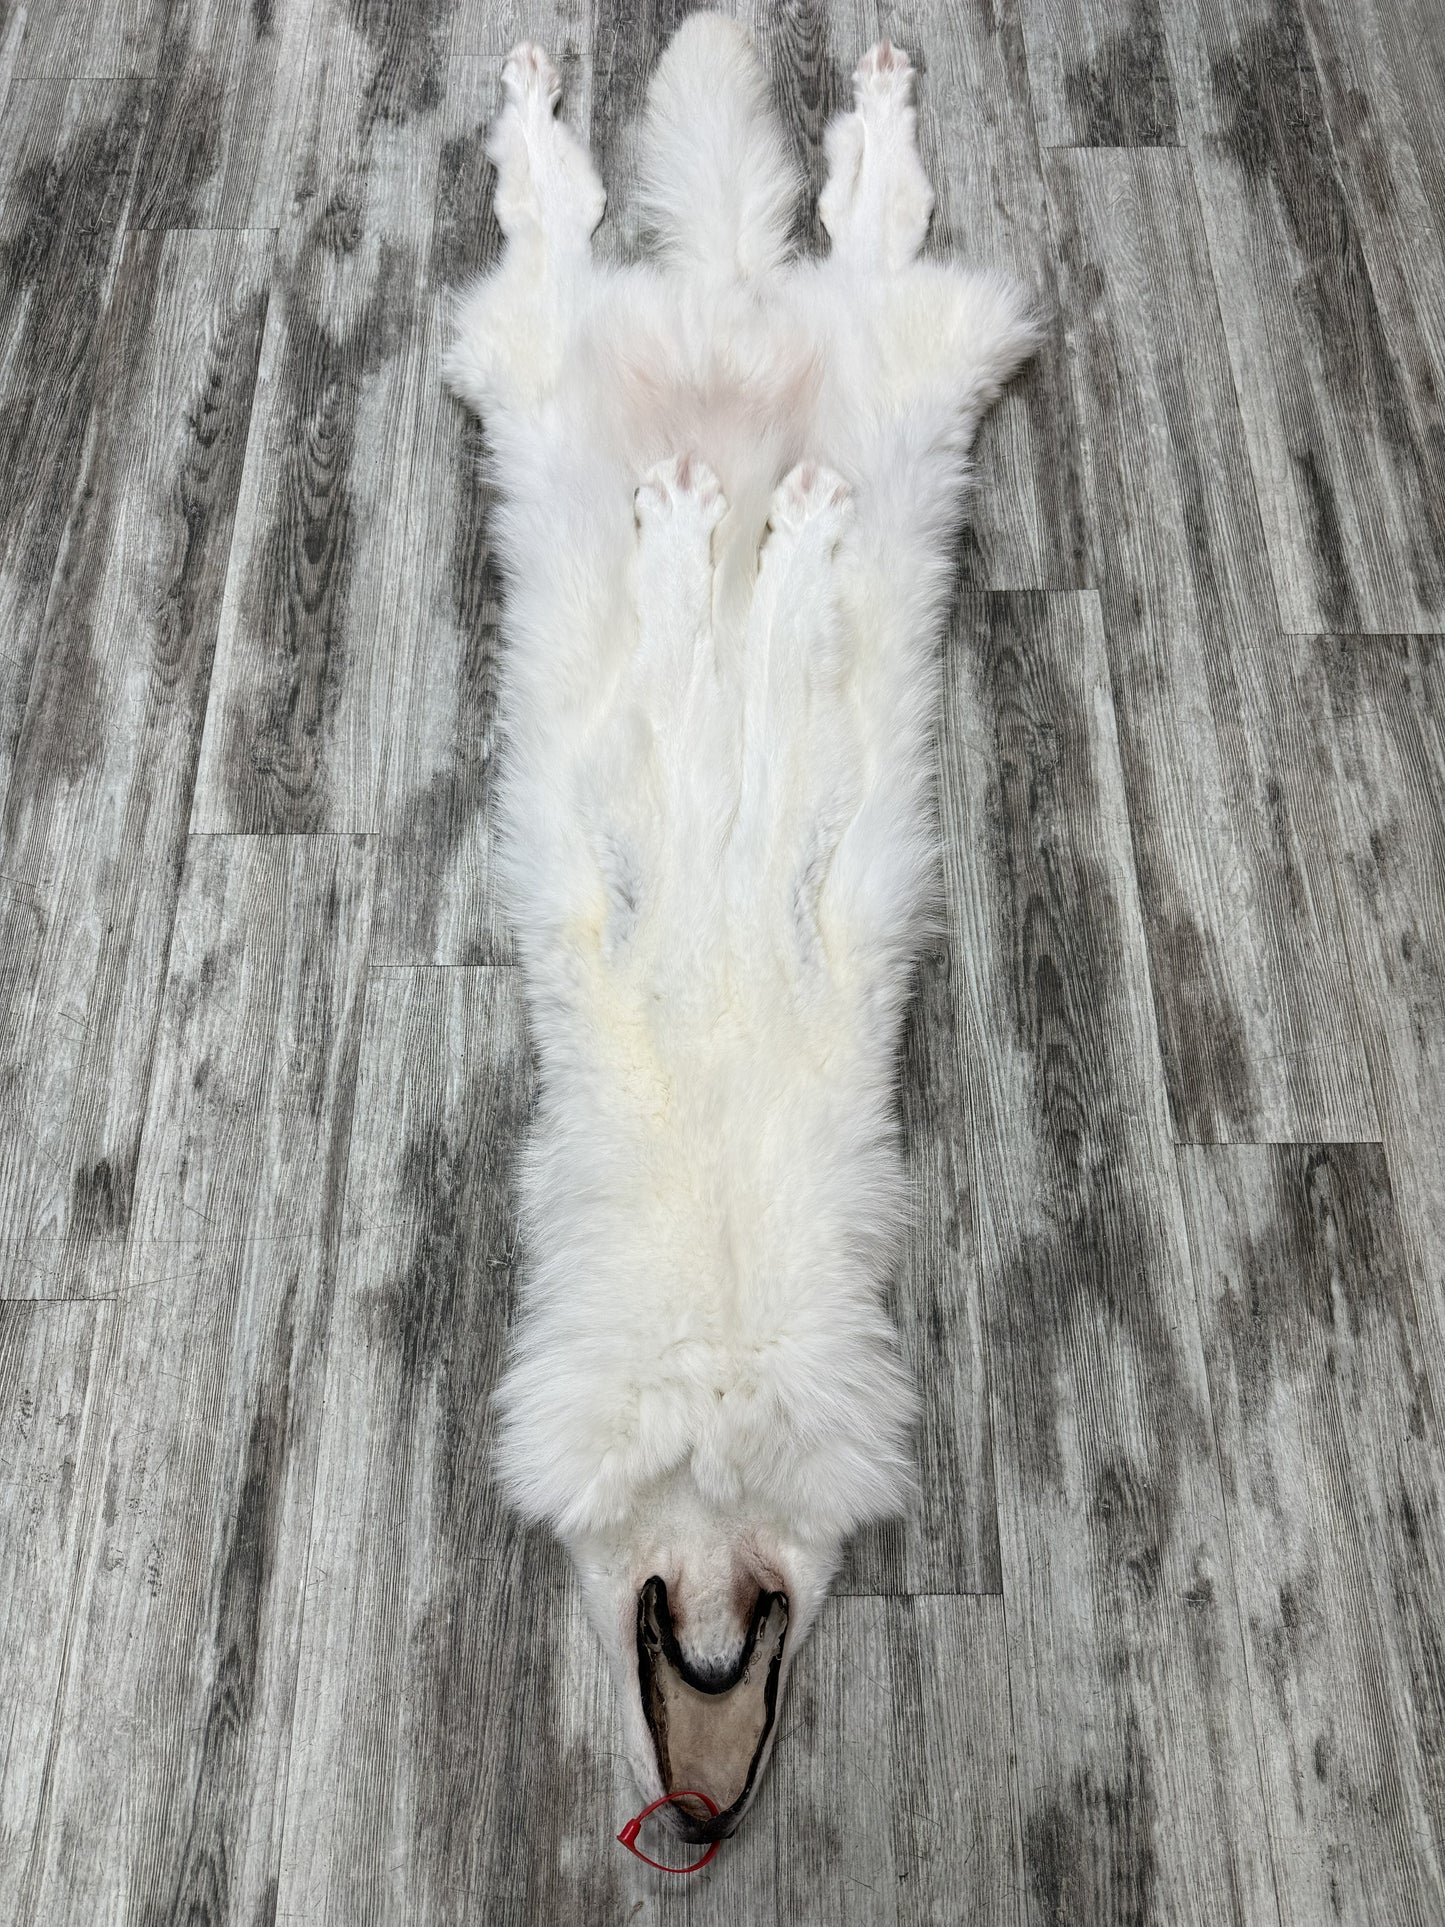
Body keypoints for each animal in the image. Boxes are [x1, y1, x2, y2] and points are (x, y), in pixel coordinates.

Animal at [444, 13, 1038, 1843]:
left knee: (869, 225)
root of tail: (723, 303)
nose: (702, 1809)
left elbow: (763, 701)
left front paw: (758, 549)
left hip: (907, 369)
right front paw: (712, 546)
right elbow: (713, 687)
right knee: (561, 228)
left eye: (742, 1665)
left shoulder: (819, 875)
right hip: (538, 366)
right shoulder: (624, 856)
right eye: (689, 1673)